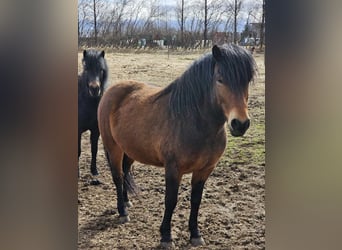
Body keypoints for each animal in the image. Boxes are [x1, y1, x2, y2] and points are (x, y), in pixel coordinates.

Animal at [97, 44, 255, 247]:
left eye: (247, 81)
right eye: (220, 79)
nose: (240, 124)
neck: (194, 121)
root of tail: (111, 91)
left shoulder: (205, 170)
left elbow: (196, 200)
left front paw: (195, 234)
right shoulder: (173, 169)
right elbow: (170, 200)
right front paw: (166, 236)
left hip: (130, 150)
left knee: (125, 172)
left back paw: (126, 202)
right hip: (113, 148)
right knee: (118, 176)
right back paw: (122, 212)